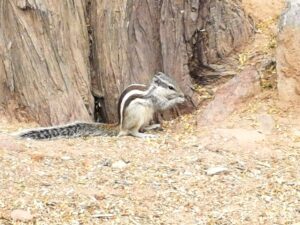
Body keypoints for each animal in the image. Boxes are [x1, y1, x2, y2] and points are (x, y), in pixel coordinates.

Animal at [17, 72, 185, 139]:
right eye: (171, 87)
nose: (181, 92)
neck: (153, 90)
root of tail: (120, 125)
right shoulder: (155, 99)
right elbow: (163, 105)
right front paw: (179, 99)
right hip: (137, 115)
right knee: (131, 132)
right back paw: (144, 134)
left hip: (146, 116)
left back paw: (152, 126)